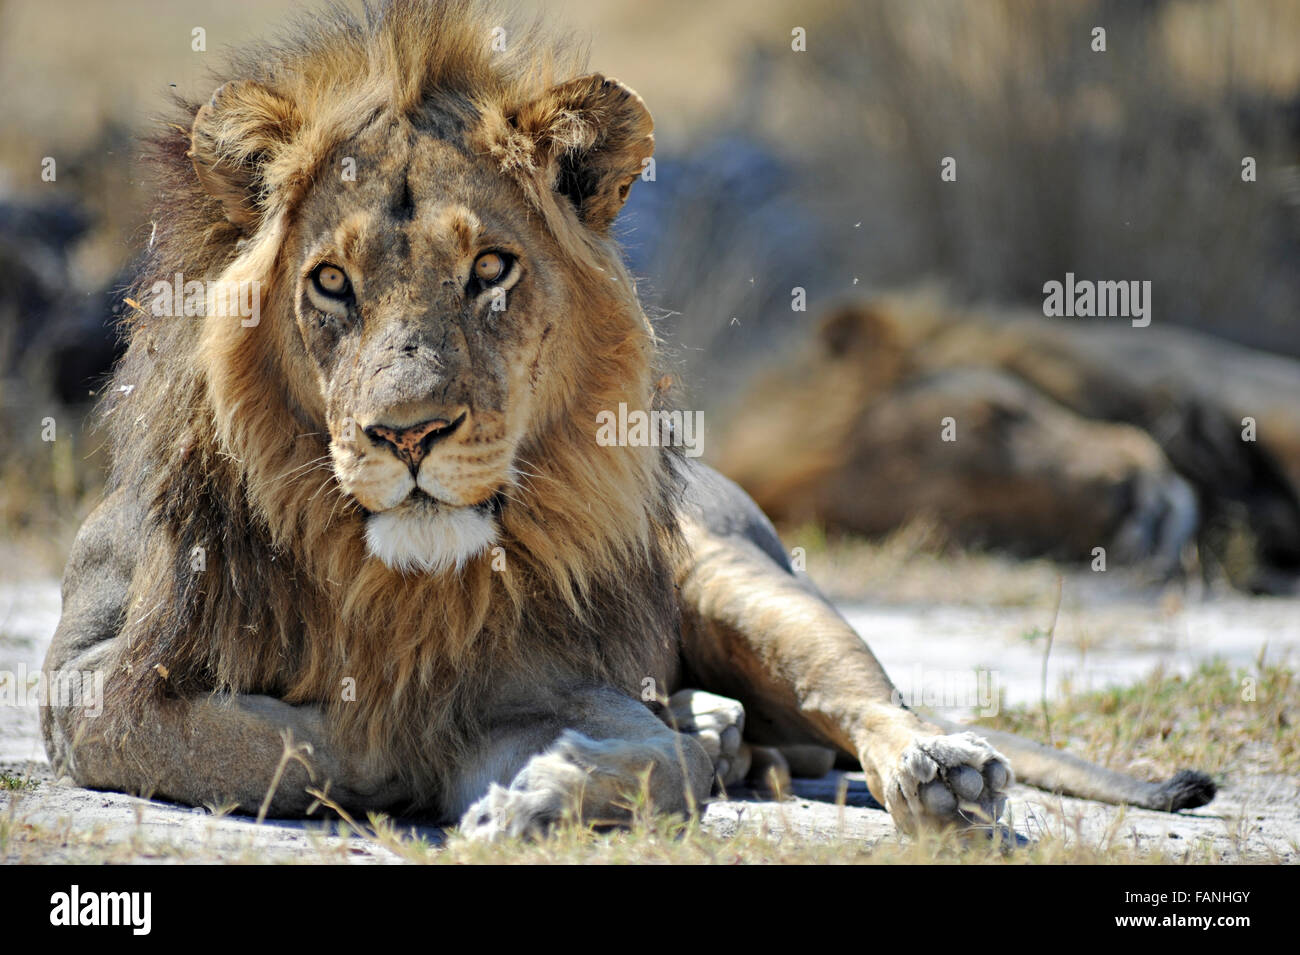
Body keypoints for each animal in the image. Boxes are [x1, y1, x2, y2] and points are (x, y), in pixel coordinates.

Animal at [41, 0, 1214, 840]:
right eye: (330, 282)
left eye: (491, 269)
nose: (408, 436)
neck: (398, 584)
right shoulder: (85, 678)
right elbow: (265, 746)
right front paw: (412, 746)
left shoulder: (572, 676)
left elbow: (645, 756)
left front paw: (543, 784)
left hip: (741, 580)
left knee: (866, 700)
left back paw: (935, 772)